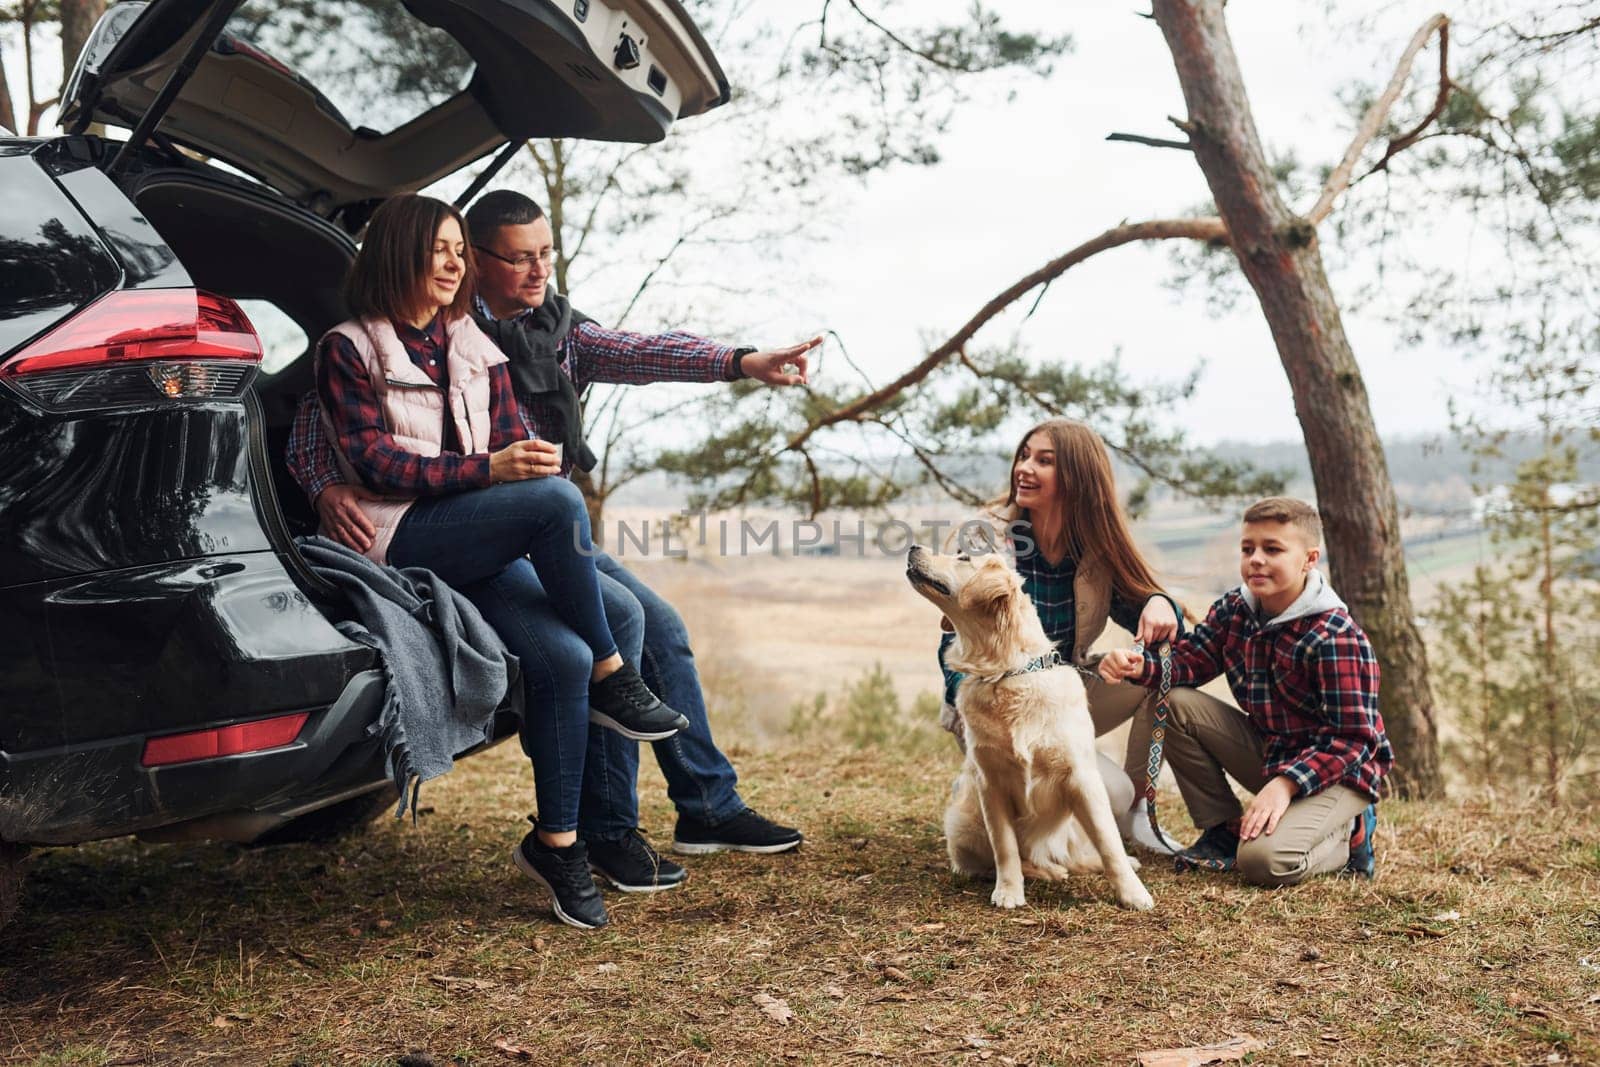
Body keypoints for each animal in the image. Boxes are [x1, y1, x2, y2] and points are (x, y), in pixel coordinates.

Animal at [915, 547, 1152, 915]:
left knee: (1081, 853)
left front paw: (1133, 892)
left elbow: (1109, 842)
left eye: (963, 557)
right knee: (1001, 862)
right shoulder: (990, 782)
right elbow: (1005, 847)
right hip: (963, 824)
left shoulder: (1082, 778)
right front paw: (1009, 891)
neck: (1008, 672)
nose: (914, 549)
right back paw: (1046, 870)